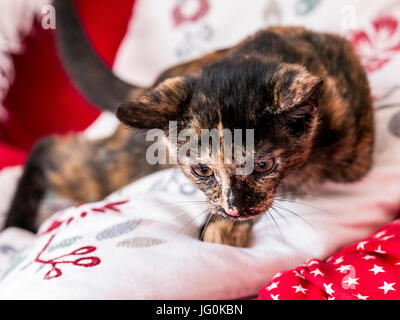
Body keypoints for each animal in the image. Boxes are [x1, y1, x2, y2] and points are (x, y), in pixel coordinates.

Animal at [3, 0, 374, 248]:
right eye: (203, 171)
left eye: (263, 165)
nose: (234, 209)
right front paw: (222, 227)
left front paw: (223, 226)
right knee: (50, 149)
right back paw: (16, 227)